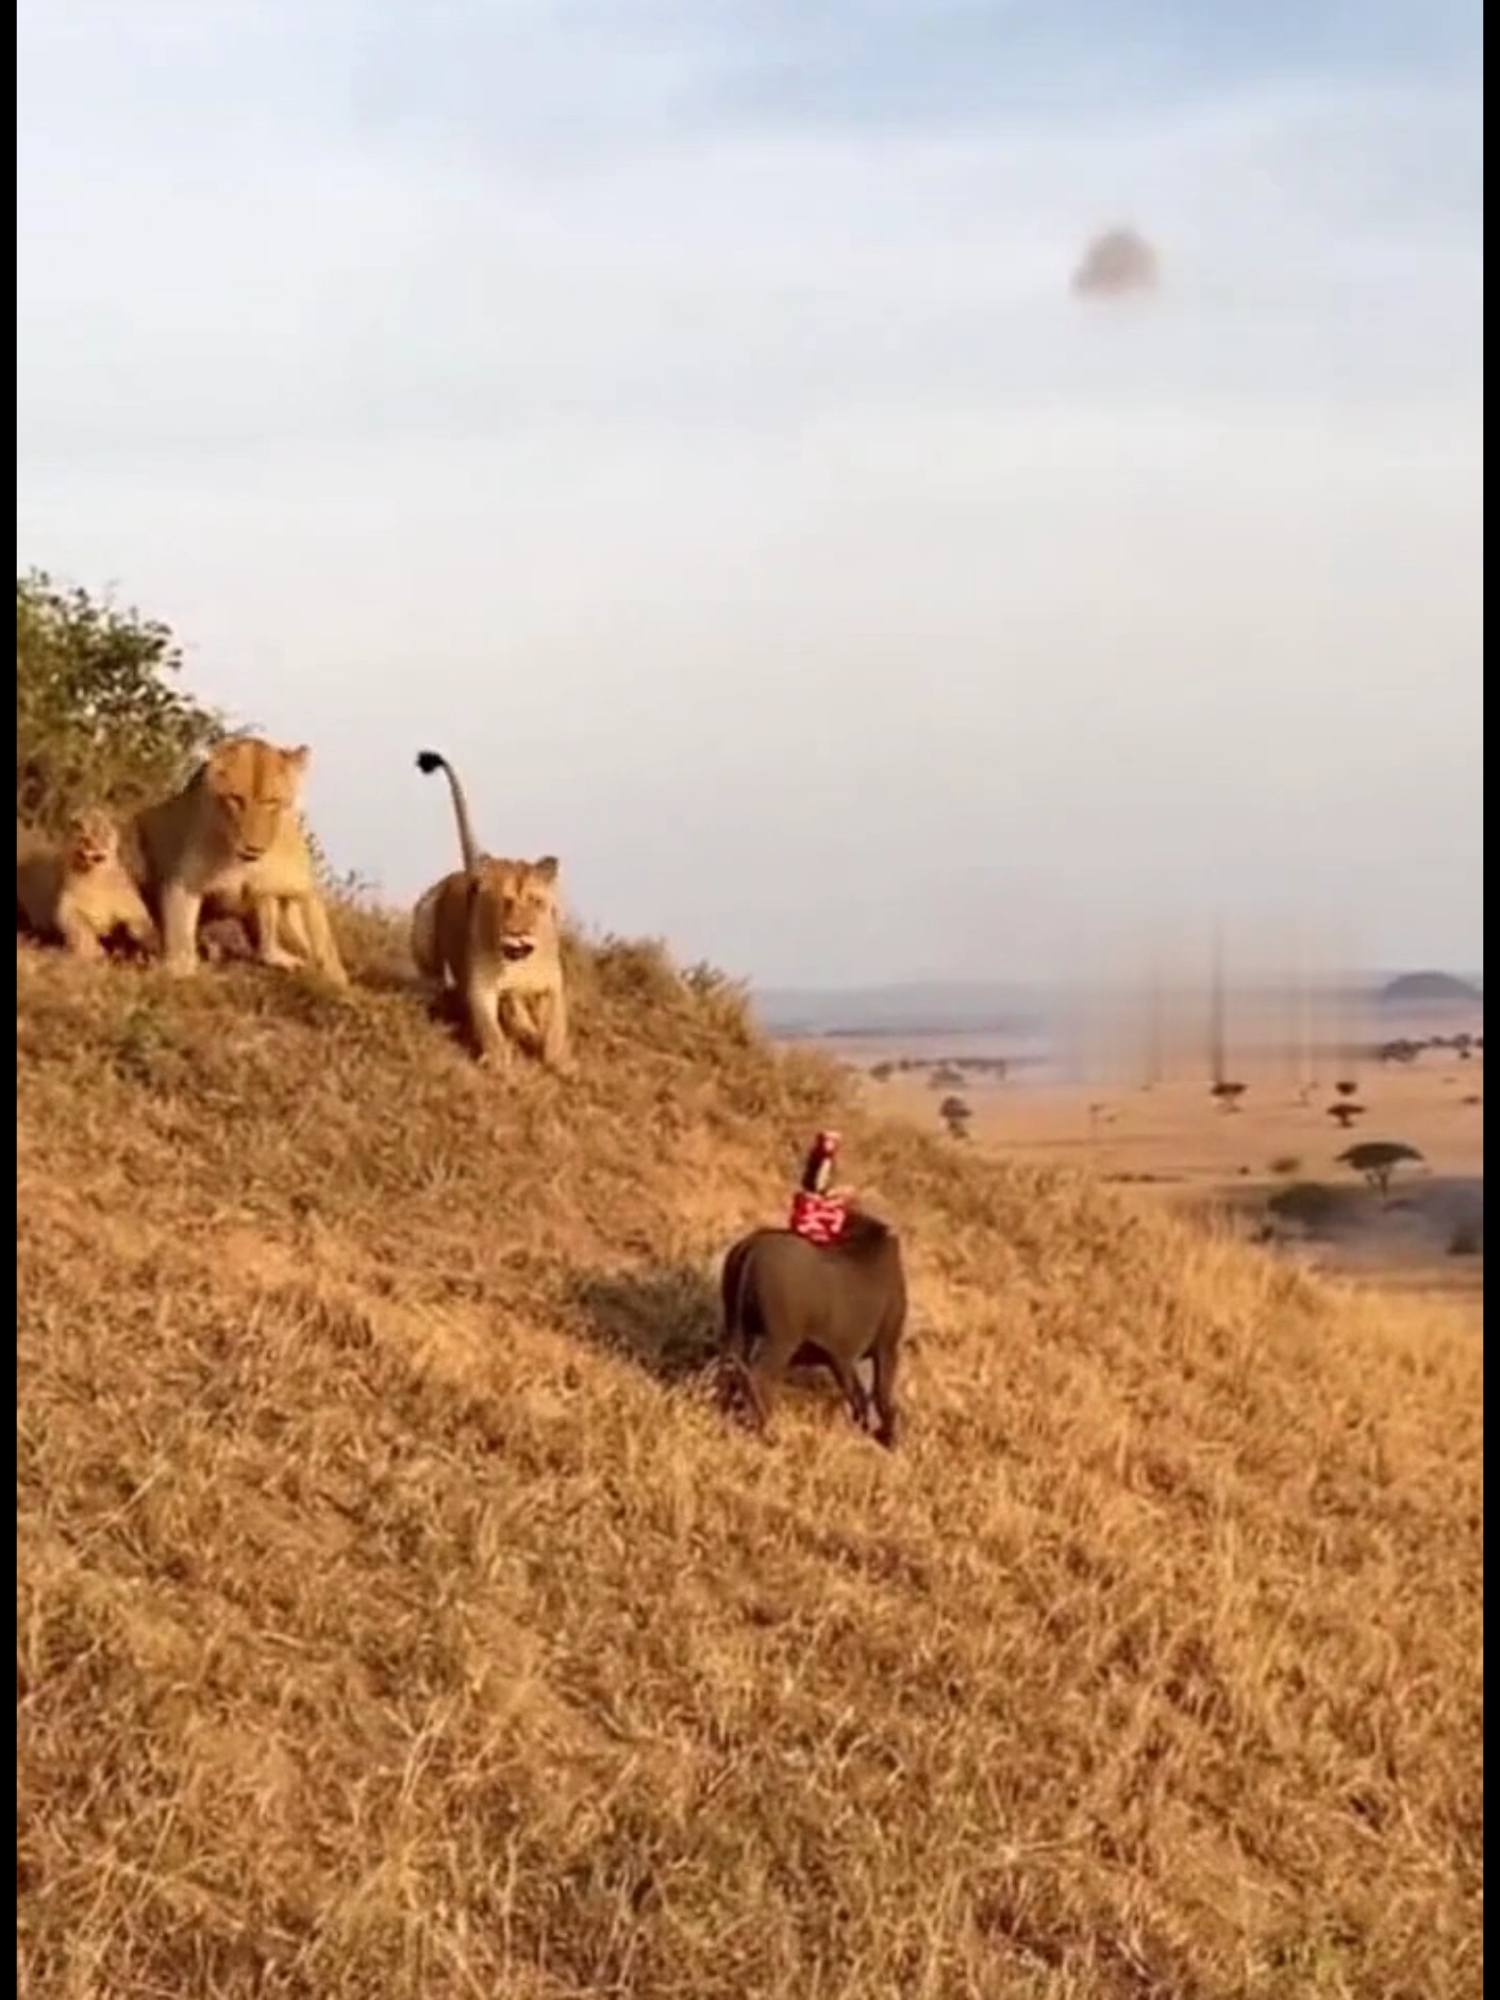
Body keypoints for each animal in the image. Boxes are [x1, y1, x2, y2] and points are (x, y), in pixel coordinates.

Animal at [17, 807, 159, 961]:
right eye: (80, 827)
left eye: (102, 831)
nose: (87, 841)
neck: (93, 877)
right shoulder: (66, 908)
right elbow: (81, 928)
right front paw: (92, 951)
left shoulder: (134, 909)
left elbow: (143, 925)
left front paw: (148, 945)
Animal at [125, 736, 349, 985]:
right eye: (235, 799)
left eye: (272, 801)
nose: (252, 848)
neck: (244, 864)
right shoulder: (184, 883)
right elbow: (180, 932)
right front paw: (178, 968)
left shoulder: (301, 887)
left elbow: (323, 942)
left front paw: (337, 980)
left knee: (266, 945)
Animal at [412, 748, 572, 1073]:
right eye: (505, 900)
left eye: (536, 902)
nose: (519, 932)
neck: (519, 963)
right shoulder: (481, 986)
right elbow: (489, 1027)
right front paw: (499, 1058)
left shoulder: (553, 983)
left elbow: (556, 1025)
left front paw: (559, 1059)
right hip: (424, 918)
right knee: (434, 977)